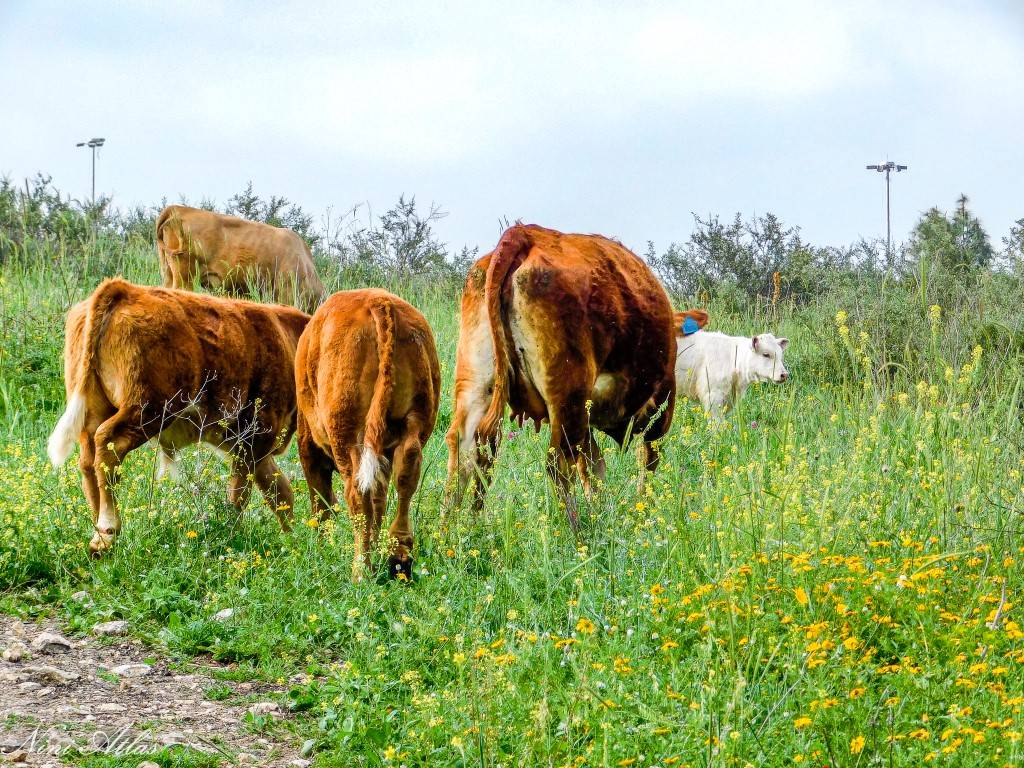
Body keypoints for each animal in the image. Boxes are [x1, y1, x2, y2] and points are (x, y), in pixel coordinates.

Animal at [48, 280, 309, 557]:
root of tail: (124, 289)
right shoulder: (256, 436)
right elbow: (240, 495)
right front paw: (232, 535)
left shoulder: (254, 446)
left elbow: (280, 492)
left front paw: (294, 540)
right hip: (147, 409)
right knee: (109, 446)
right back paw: (107, 531)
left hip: (95, 409)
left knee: (88, 460)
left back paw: (98, 532)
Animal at [296, 290, 440, 581]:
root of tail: (377, 300)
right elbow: (379, 500)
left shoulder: (308, 446)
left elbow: (321, 503)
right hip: (414, 421)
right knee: (405, 475)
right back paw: (398, 558)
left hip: (348, 435)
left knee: (357, 493)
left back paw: (361, 570)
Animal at [444, 224, 675, 524]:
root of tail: (525, 233)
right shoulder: (662, 402)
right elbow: (645, 461)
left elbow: (594, 466)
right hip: (567, 397)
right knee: (558, 463)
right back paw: (577, 530)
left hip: (476, 385)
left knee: (466, 451)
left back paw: (456, 527)